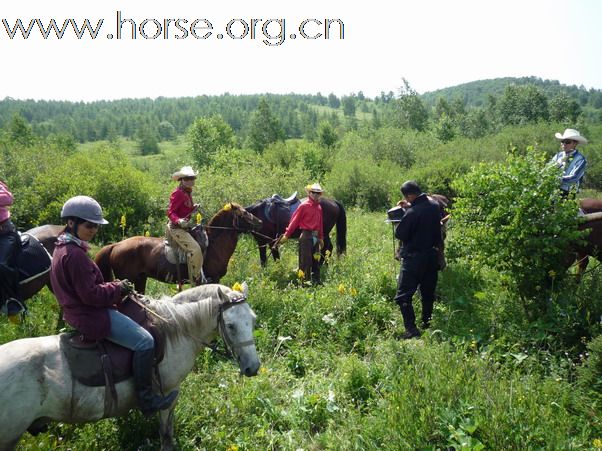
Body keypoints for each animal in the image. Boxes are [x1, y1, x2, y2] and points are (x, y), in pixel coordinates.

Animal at [0, 284, 258, 450]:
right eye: (231, 325)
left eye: (253, 320)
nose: (253, 368)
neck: (174, 329)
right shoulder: (167, 393)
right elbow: (166, 434)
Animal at [95, 204, 262, 294]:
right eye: (244, 213)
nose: (259, 222)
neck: (213, 244)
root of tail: (115, 245)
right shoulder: (213, 279)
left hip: (140, 280)